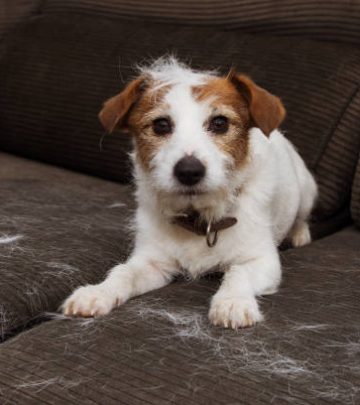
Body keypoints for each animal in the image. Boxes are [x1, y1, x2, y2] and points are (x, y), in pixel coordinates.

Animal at [62, 57, 318, 328]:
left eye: (220, 123)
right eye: (161, 125)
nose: (189, 171)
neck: (200, 219)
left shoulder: (262, 261)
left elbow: (239, 272)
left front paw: (232, 302)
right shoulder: (152, 262)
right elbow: (123, 272)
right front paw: (98, 292)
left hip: (307, 191)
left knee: (302, 217)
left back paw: (300, 235)